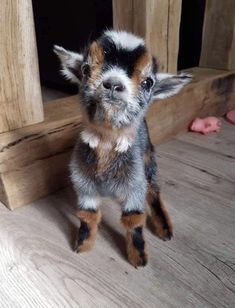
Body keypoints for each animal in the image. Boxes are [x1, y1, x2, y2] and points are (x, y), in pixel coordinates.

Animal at [54, 31, 191, 268]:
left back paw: (164, 228)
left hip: (148, 160)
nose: (113, 84)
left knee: (154, 190)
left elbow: (133, 220)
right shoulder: (84, 185)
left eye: (148, 82)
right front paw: (83, 245)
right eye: (85, 69)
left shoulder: (134, 186)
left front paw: (139, 258)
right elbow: (87, 215)